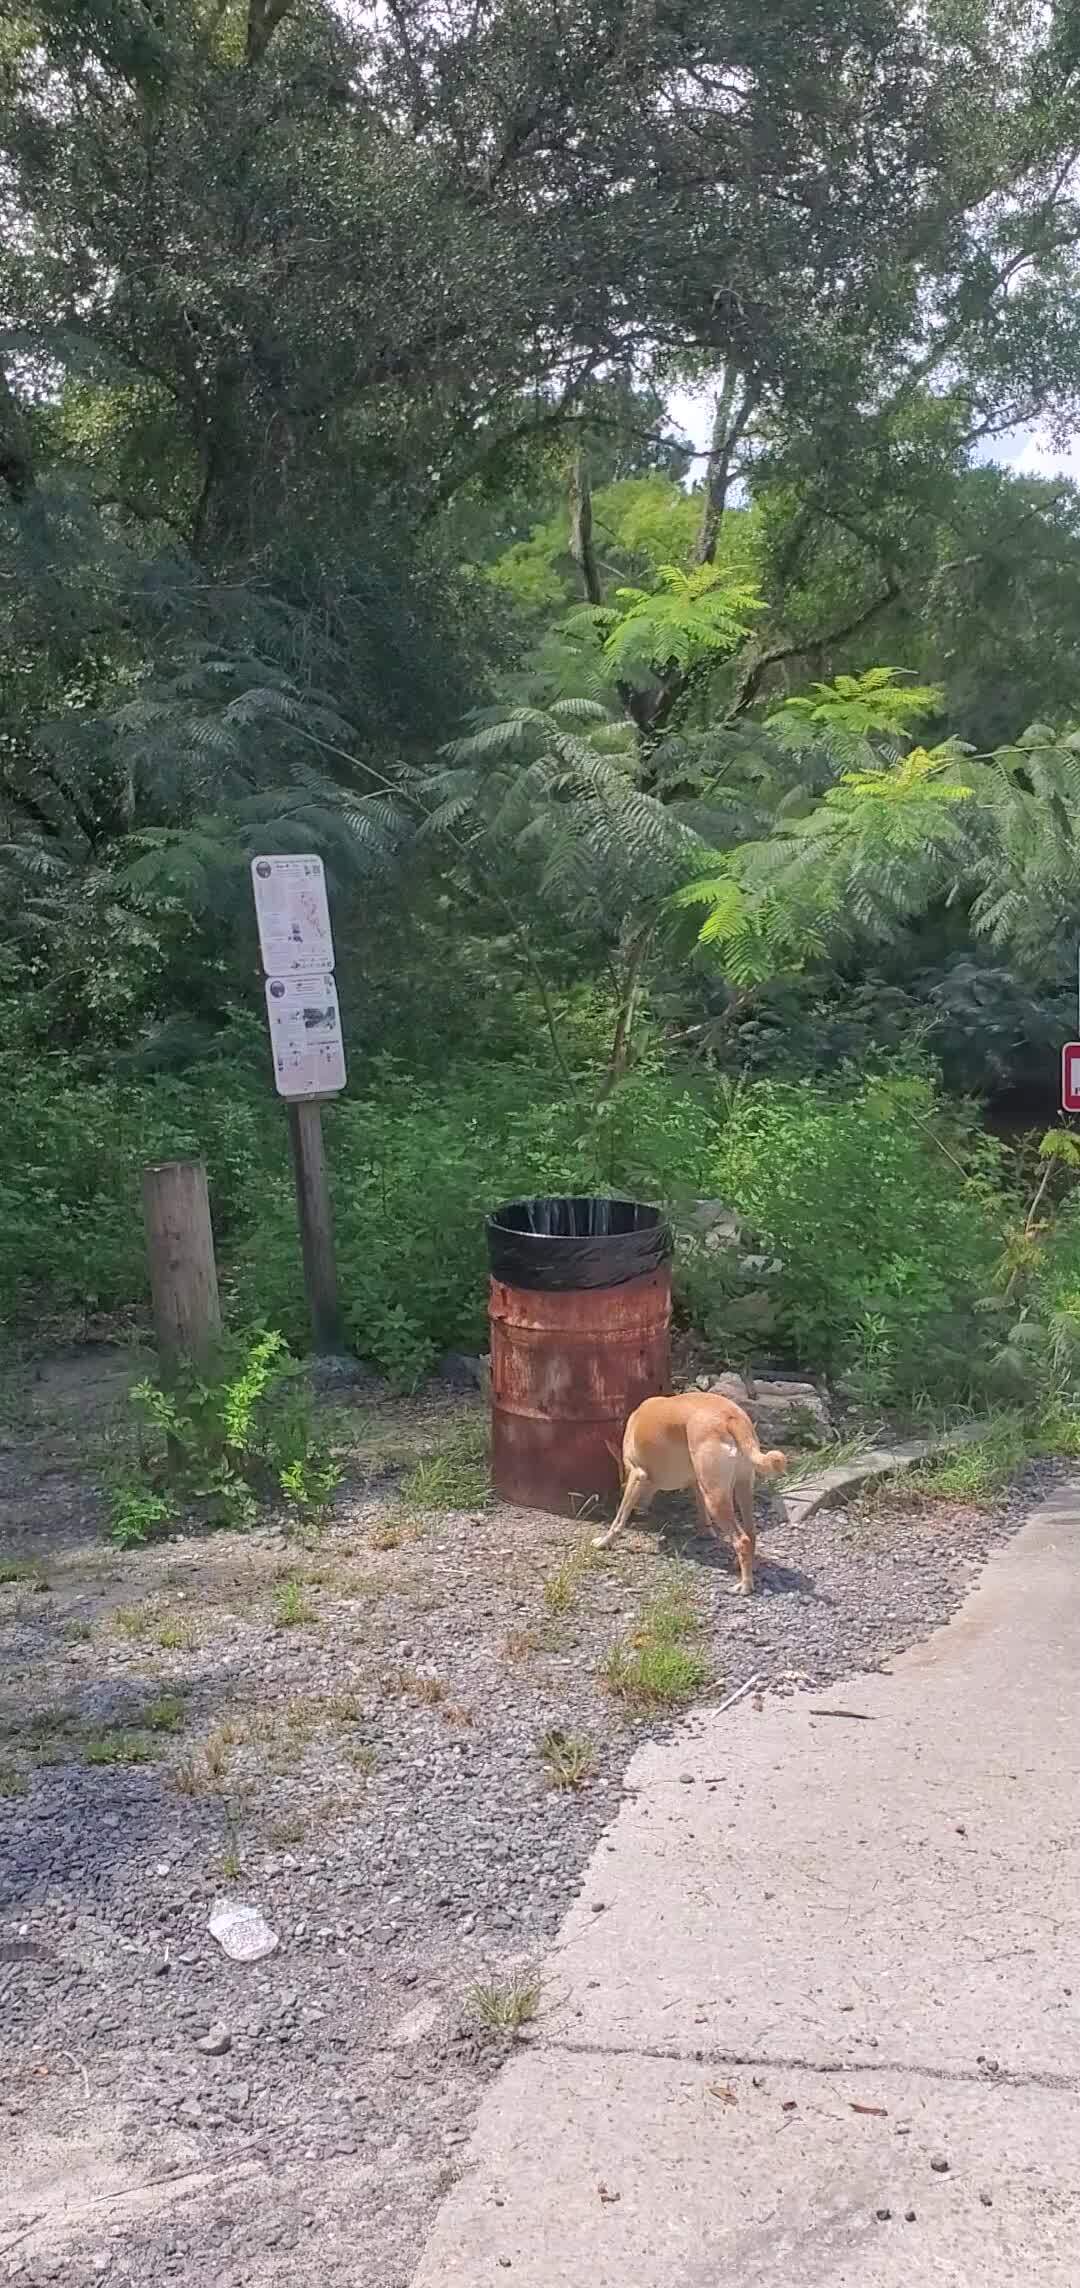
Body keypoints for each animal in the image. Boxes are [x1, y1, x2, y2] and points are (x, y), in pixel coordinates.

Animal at [590, 1391, 782, 1592]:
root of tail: (732, 1417)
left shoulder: (638, 1475)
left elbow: (619, 1519)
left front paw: (605, 1541)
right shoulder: (697, 1483)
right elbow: (701, 1510)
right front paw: (706, 1533)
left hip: (716, 1498)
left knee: (742, 1540)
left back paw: (745, 1585)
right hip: (741, 1489)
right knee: (751, 1533)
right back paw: (746, 1567)